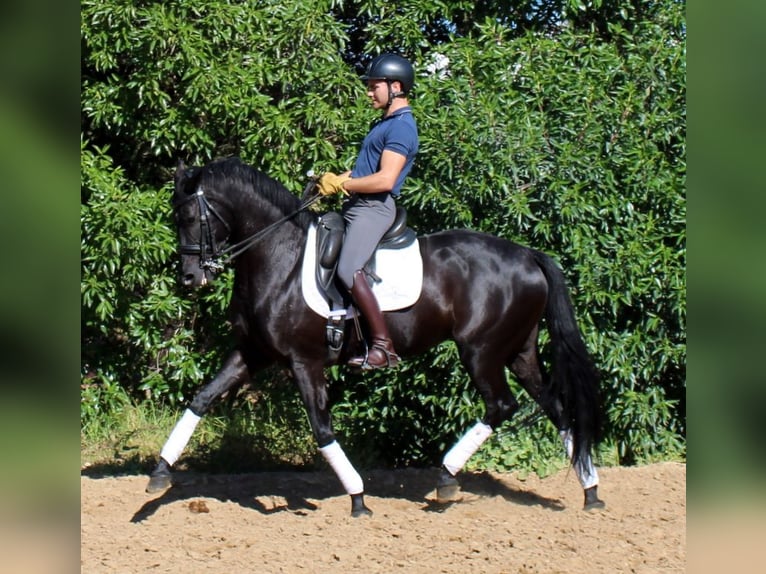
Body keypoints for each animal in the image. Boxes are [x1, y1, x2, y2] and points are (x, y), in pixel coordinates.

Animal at [147, 158, 608, 516]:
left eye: (188, 217)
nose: (190, 278)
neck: (280, 257)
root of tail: (527, 255)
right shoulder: (252, 352)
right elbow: (201, 399)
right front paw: (160, 472)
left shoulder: (303, 361)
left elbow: (321, 428)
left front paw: (358, 498)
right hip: (519, 351)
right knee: (556, 407)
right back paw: (590, 490)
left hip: (481, 351)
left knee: (502, 405)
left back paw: (446, 477)